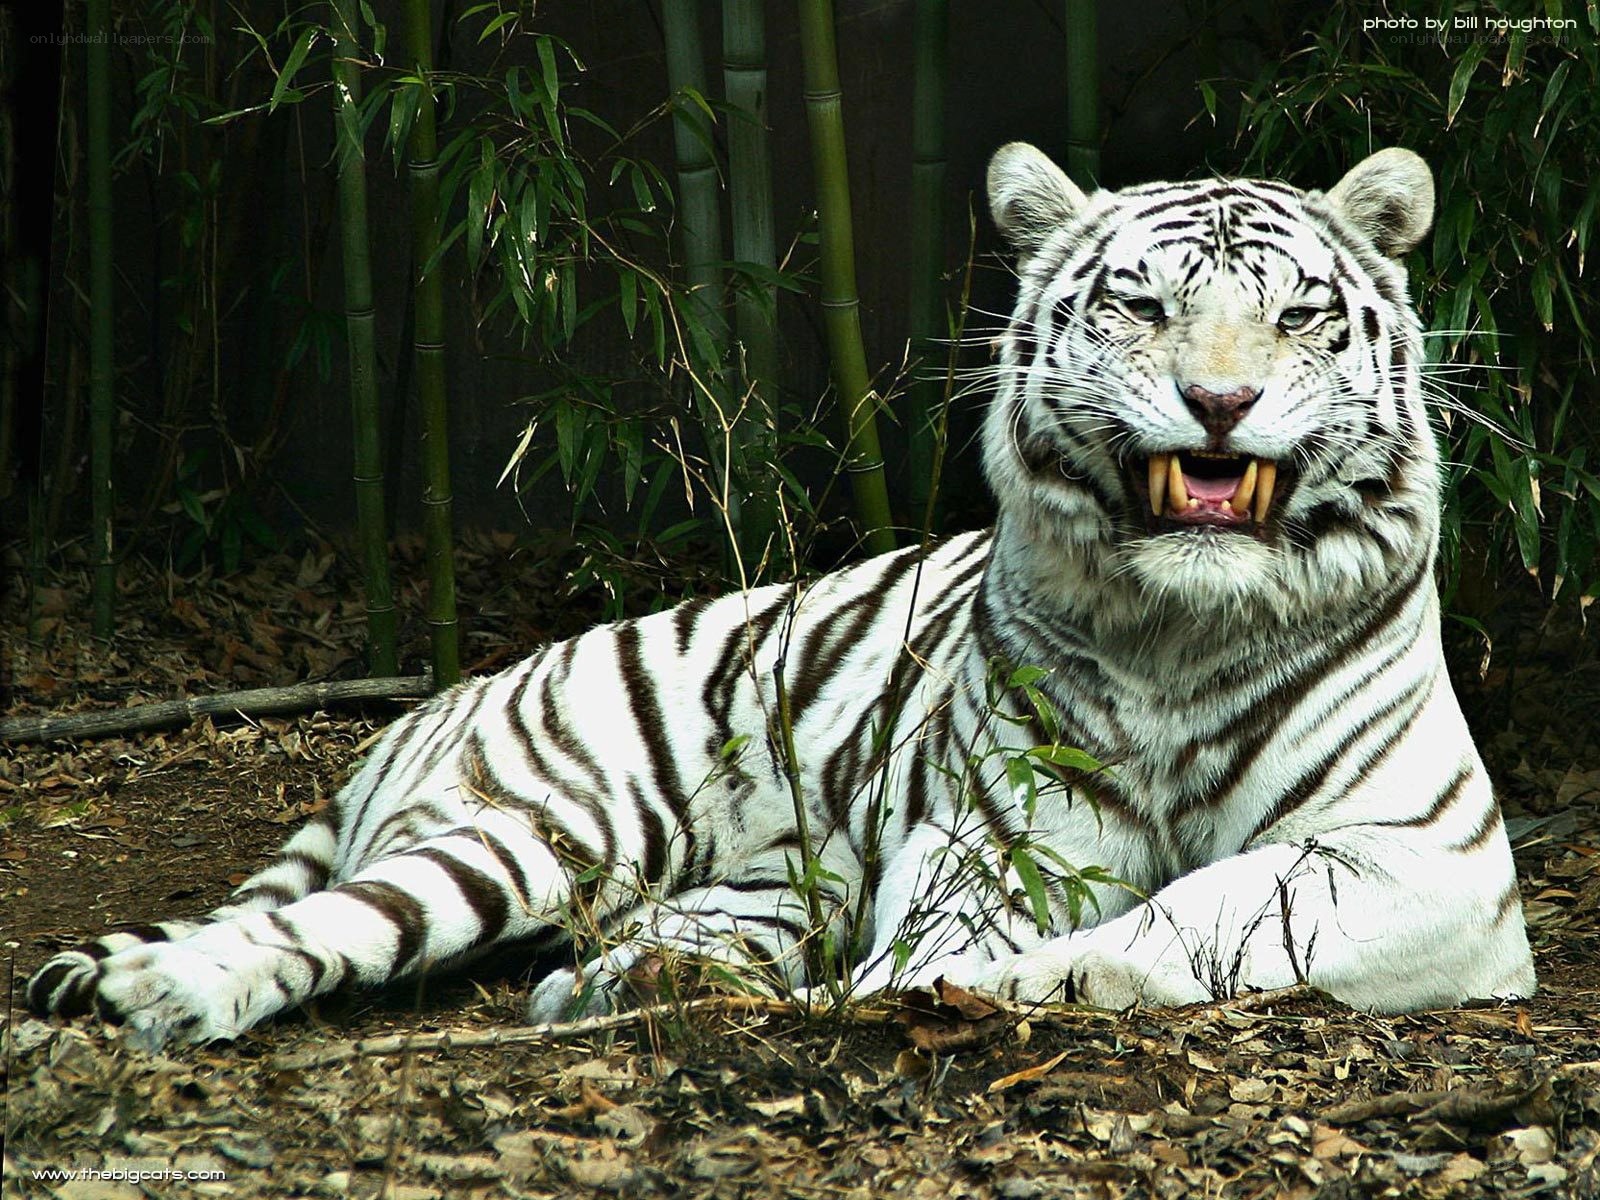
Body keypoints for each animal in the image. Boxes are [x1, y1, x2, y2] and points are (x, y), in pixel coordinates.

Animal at [27, 143, 1536, 1049]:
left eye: (1297, 316)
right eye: (1140, 307)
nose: (1218, 403)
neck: (1180, 622)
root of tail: (434, 700)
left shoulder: (1420, 859)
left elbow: (1181, 926)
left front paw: (945, 990)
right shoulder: (992, 839)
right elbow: (1014, 930)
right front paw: (917, 987)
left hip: (735, 886)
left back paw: (635, 983)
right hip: (533, 831)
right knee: (341, 919)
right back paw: (172, 991)